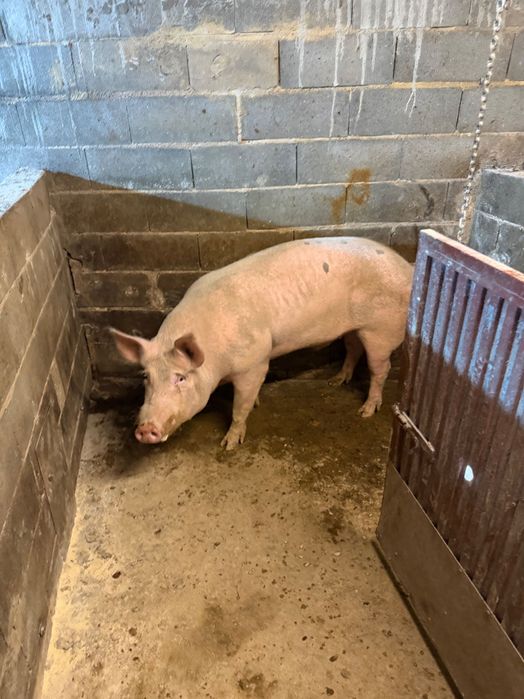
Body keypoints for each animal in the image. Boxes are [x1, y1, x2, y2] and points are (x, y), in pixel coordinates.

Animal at [110, 237, 413, 450]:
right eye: (146, 377)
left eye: (181, 378)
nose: (145, 429)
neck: (215, 360)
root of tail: (408, 267)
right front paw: (255, 404)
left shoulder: (254, 362)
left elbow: (239, 406)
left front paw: (229, 444)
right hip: (355, 327)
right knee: (353, 348)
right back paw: (335, 381)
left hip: (380, 330)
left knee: (380, 369)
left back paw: (366, 412)